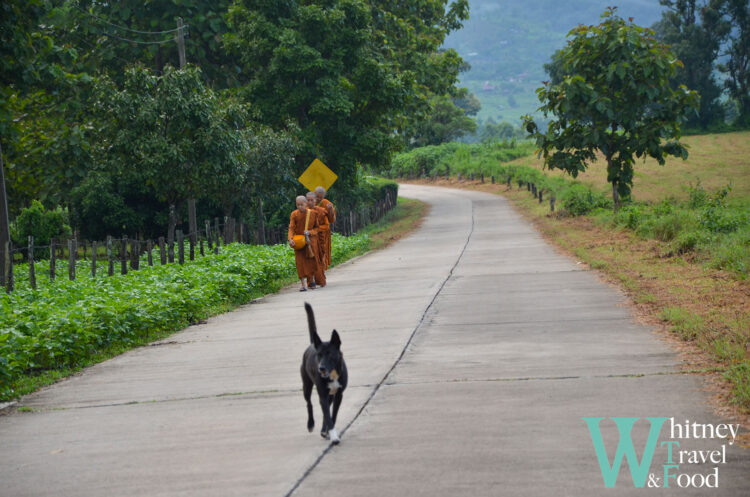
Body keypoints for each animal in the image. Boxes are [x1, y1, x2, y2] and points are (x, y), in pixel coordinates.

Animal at [302, 300, 348, 444]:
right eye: (319, 355)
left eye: (330, 354)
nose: (321, 368)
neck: (332, 374)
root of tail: (313, 343)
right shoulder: (322, 394)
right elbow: (327, 415)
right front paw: (333, 436)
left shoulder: (339, 395)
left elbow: (332, 415)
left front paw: (329, 432)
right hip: (306, 385)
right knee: (309, 403)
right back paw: (310, 424)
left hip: (331, 395)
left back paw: (323, 430)